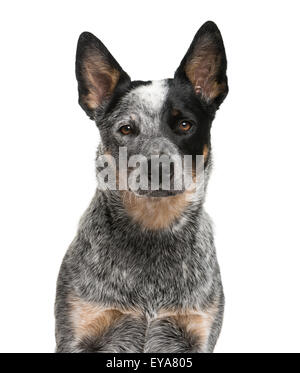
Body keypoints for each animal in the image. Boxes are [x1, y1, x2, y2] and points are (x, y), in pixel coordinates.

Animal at [54, 20, 227, 352]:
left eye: (184, 124)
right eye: (126, 129)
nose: (158, 167)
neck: (154, 228)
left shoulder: (199, 332)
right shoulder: (77, 332)